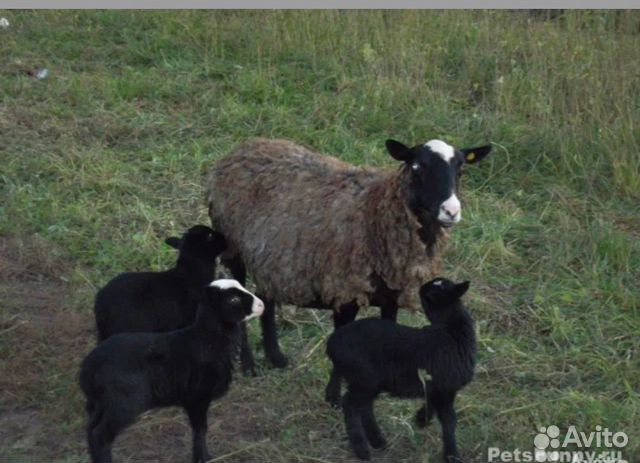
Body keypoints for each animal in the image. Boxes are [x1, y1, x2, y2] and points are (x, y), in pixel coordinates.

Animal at [79, 280, 264, 463]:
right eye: (233, 300)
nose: (262, 305)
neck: (208, 340)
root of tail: (88, 368)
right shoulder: (197, 396)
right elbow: (200, 429)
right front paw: (203, 457)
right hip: (123, 403)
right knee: (100, 435)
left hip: (101, 403)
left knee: (90, 430)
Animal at [205, 139, 490, 392]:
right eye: (417, 166)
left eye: (461, 169)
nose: (451, 211)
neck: (376, 210)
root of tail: (244, 147)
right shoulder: (345, 291)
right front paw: (334, 397)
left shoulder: (391, 296)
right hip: (235, 248)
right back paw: (249, 365)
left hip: (274, 259)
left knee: (266, 298)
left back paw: (276, 357)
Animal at [330, 278, 476, 462]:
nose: (421, 286)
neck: (451, 329)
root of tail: (332, 344)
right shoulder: (445, 387)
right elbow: (449, 420)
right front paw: (452, 454)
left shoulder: (439, 387)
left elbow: (433, 405)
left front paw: (421, 419)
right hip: (364, 379)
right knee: (350, 406)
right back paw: (362, 450)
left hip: (367, 383)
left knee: (364, 407)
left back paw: (377, 441)